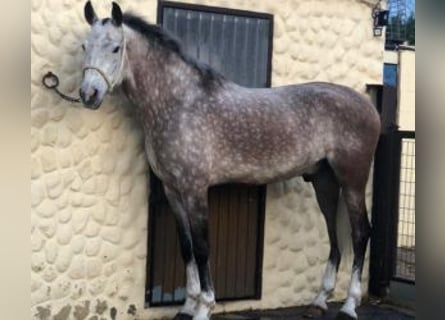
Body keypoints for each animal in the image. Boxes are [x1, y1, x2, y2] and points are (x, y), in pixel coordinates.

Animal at [79, 1, 378, 318]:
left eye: (115, 48)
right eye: (85, 45)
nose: (88, 94)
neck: (180, 103)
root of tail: (368, 106)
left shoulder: (195, 189)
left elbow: (202, 248)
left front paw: (204, 307)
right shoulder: (173, 190)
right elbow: (186, 246)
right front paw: (187, 305)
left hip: (353, 180)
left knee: (361, 233)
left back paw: (349, 305)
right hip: (324, 182)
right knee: (334, 235)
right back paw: (320, 300)